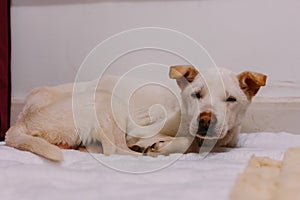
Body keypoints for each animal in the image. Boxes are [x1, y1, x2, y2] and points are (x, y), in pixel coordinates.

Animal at [5, 65, 268, 161]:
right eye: (197, 94)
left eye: (231, 99)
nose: (205, 121)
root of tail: (21, 122)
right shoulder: (139, 127)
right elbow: (185, 142)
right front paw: (158, 146)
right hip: (106, 100)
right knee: (114, 150)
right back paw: (140, 153)